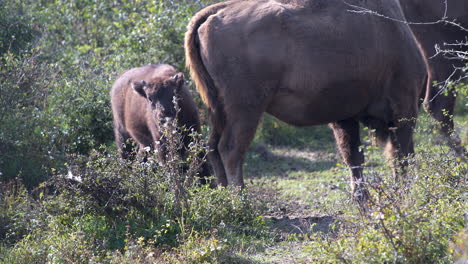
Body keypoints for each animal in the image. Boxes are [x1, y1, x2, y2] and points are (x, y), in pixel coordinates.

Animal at [184, 0, 428, 202]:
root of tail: (215, 13)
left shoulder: (346, 116)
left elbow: (354, 156)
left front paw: (362, 199)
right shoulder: (404, 110)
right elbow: (401, 156)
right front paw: (403, 195)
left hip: (217, 109)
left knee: (213, 147)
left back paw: (225, 197)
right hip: (246, 109)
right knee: (231, 149)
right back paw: (241, 201)